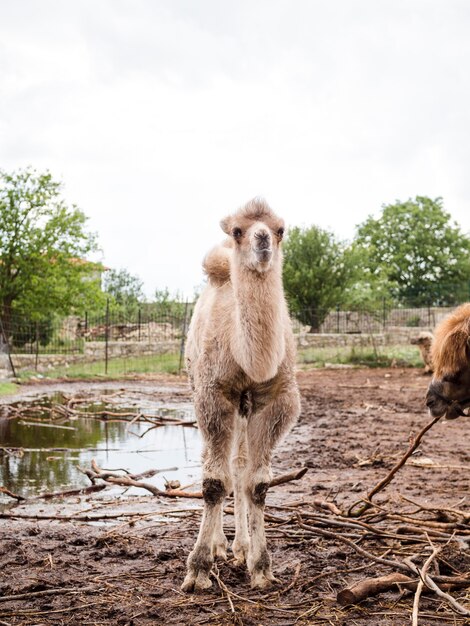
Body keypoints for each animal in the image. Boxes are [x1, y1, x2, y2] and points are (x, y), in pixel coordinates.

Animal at [182, 197, 300, 588]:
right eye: (237, 231)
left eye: (280, 229)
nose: (262, 239)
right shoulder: (214, 394)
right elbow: (214, 482)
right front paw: (198, 570)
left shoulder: (277, 400)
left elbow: (257, 483)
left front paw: (261, 567)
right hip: (201, 389)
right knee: (214, 462)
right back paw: (220, 546)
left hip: (245, 407)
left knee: (239, 466)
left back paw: (240, 547)